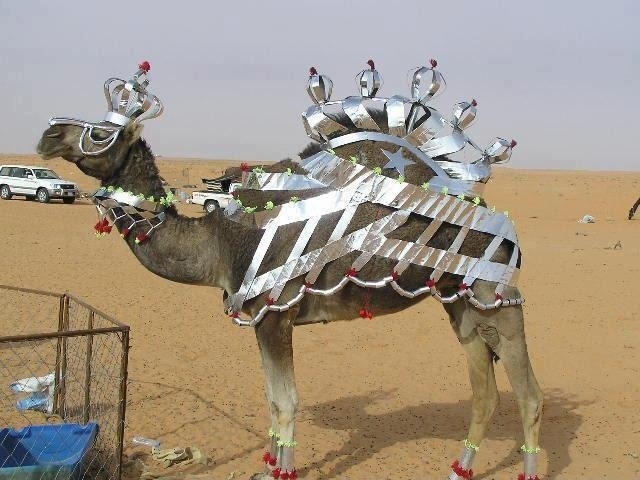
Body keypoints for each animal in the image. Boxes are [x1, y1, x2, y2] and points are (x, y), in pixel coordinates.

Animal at [37, 62, 543, 480]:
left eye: (101, 132)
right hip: (461, 305)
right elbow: (274, 399)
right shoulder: (263, 319)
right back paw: (461, 468)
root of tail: (508, 231)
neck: (220, 246)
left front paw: (282, 471)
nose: (49, 134)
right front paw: (268, 468)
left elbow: (286, 401)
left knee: (530, 395)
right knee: (485, 393)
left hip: (498, 299)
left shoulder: (274, 314)